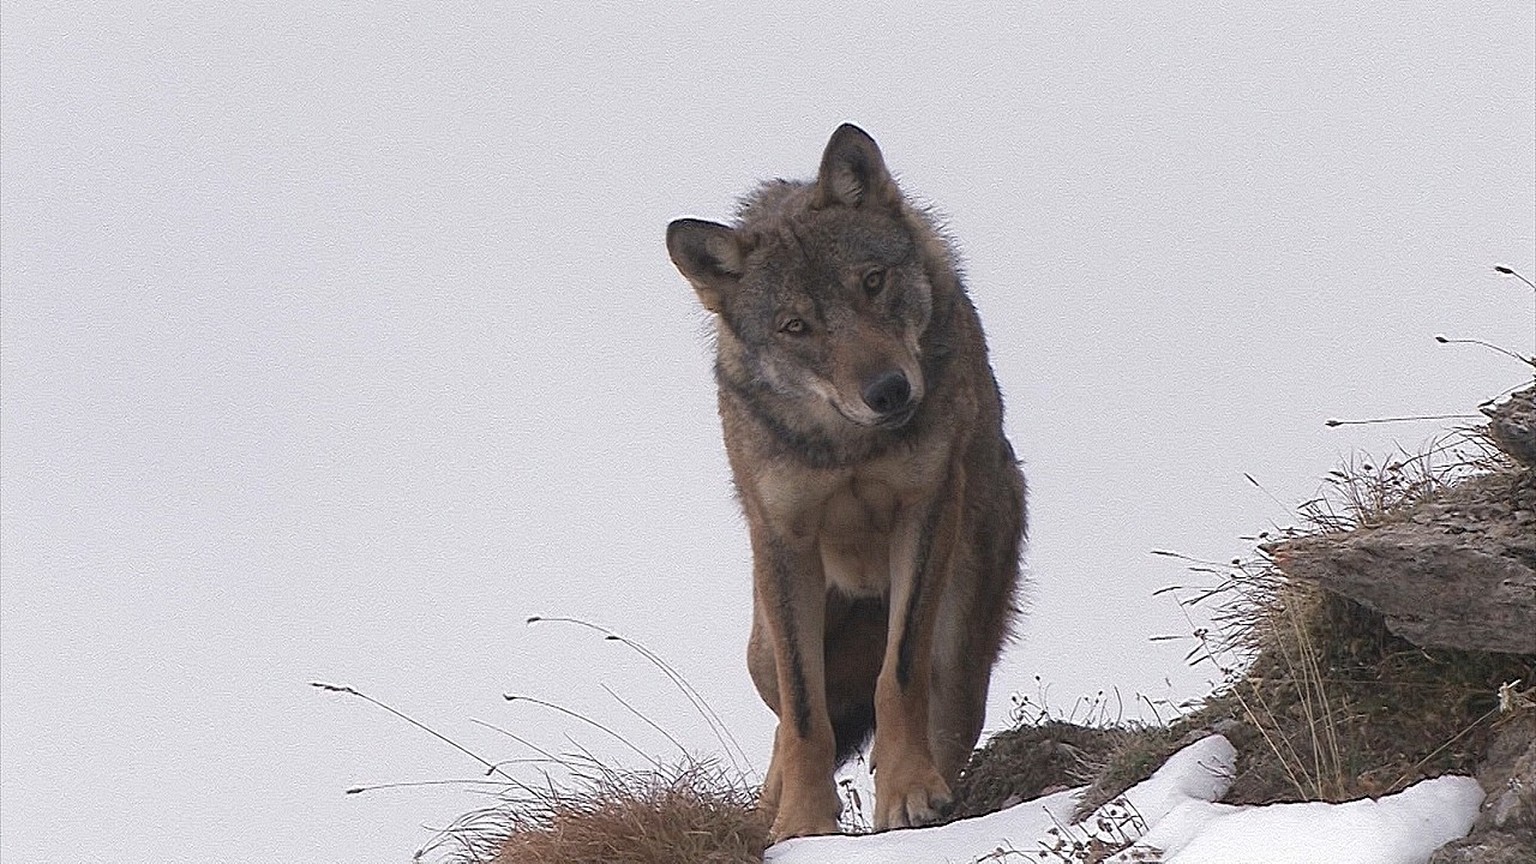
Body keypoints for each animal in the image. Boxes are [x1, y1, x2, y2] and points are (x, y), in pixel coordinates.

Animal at [666, 124, 1026, 836]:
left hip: (963, 627)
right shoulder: (783, 538)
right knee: (788, 720)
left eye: (873, 281)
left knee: (944, 707)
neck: (849, 446)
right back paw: (770, 815)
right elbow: (806, 713)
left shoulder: (924, 508)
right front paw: (804, 825)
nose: (888, 391)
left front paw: (908, 793)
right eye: (795, 326)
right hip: (762, 648)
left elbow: (899, 675)